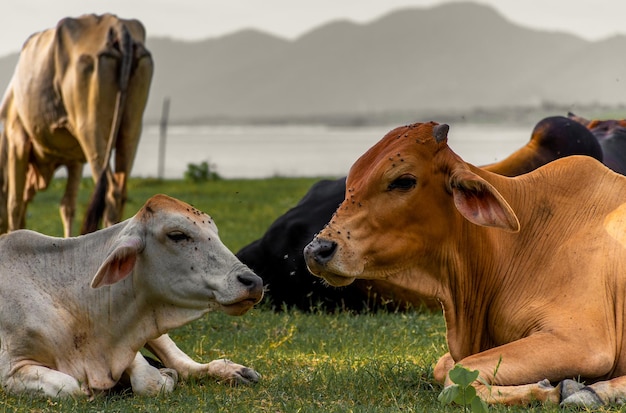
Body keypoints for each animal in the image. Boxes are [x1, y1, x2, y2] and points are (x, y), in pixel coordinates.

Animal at [0, 13, 152, 235]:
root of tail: (116, 25)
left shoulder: (17, 141)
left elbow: (14, 203)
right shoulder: (75, 159)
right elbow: (67, 206)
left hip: (90, 128)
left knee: (110, 192)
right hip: (131, 128)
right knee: (121, 190)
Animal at [0, 195, 260, 398]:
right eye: (177, 235)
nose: (254, 282)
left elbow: (149, 380)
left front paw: (165, 375)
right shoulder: (10, 368)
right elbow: (71, 387)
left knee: (184, 364)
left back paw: (235, 371)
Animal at [304, 121, 626, 406]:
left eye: (403, 181)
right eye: (350, 182)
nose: (317, 249)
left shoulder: (582, 343)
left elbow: (456, 380)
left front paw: (551, 390)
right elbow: (444, 367)